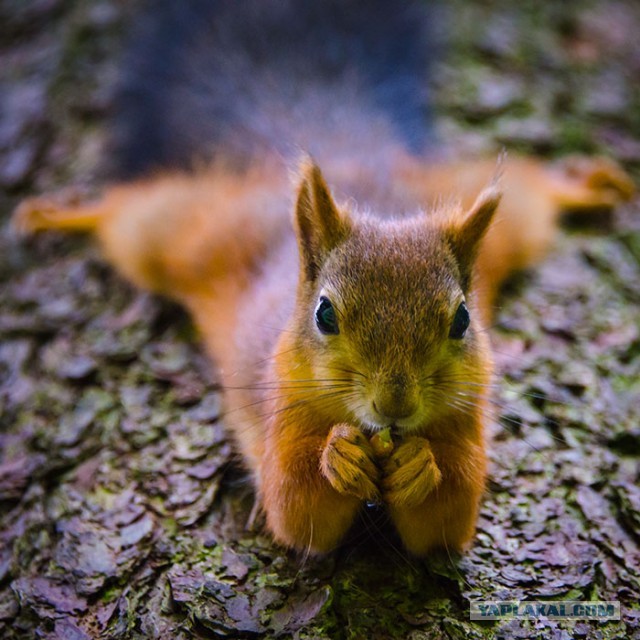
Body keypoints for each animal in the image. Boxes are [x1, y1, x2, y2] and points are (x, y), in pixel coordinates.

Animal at [11, 0, 636, 556]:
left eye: (463, 319)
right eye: (324, 314)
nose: (394, 406)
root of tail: (352, 153)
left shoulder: (467, 417)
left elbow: (449, 517)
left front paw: (421, 464)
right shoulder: (278, 409)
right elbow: (295, 507)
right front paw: (337, 457)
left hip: (507, 226)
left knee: (532, 190)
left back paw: (584, 184)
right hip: (185, 236)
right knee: (132, 214)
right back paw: (64, 213)